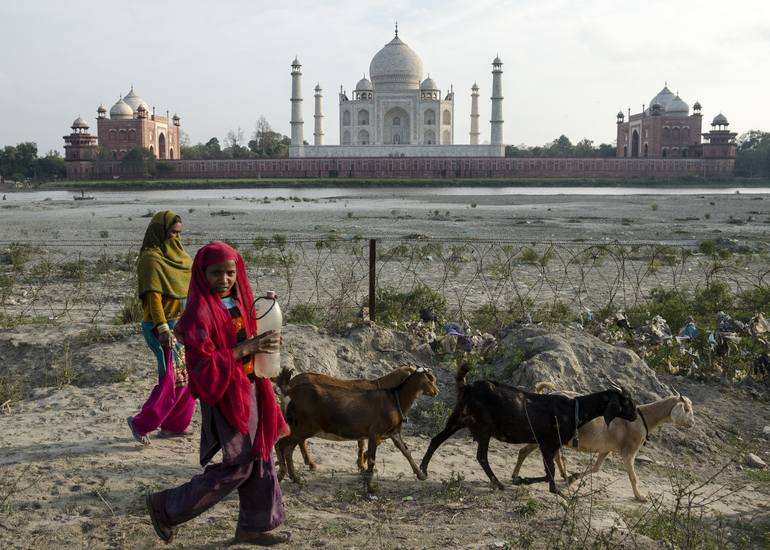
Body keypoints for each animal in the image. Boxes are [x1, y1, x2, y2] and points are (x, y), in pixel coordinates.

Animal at [274, 368, 438, 494]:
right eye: (430, 379)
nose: (436, 391)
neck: (394, 398)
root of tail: (290, 391)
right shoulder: (375, 433)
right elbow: (372, 458)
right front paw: (370, 486)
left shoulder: (392, 433)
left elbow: (406, 452)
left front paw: (421, 475)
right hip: (303, 428)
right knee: (280, 445)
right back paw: (281, 475)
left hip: (298, 428)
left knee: (288, 449)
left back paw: (295, 477)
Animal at [420, 368, 636, 494]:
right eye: (626, 401)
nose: (635, 416)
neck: (573, 408)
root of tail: (467, 386)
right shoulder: (548, 443)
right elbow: (551, 471)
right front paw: (556, 490)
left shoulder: (547, 444)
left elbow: (548, 472)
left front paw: (521, 479)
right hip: (484, 427)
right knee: (481, 456)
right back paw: (497, 483)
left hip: (458, 419)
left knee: (436, 439)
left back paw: (422, 471)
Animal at [510, 384, 696, 504]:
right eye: (687, 409)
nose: (692, 424)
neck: (642, 418)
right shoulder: (629, 451)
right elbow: (633, 477)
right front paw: (640, 497)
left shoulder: (606, 449)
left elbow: (596, 468)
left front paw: (573, 478)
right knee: (524, 451)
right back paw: (516, 475)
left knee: (550, 454)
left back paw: (562, 474)